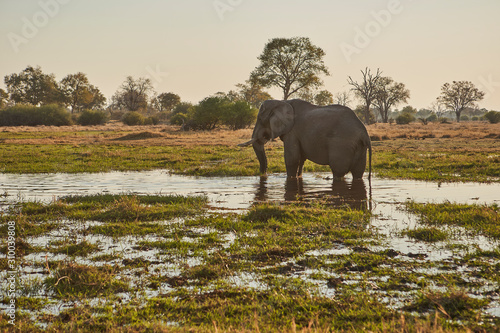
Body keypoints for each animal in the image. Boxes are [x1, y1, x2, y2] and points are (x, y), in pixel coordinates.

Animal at [240, 99, 374, 179]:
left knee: (338, 171)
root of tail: (364, 133)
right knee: (358, 172)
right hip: (359, 146)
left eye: (260, 120)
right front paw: (298, 177)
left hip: (342, 144)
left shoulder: (292, 132)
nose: (264, 176)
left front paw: (291, 178)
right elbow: (301, 159)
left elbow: (292, 158)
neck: (282, 102)